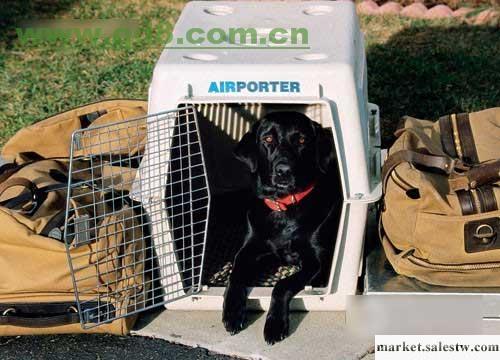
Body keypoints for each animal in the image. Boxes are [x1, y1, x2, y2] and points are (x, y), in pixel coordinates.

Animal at [224, 111, 344, 344]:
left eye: (302, 140)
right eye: (268, 139)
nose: (284, 171)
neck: (284, 206)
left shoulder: (316, 263)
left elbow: (282, 285)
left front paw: (275, 323)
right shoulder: (248, 250)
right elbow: (235, 274)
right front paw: (232, 312)